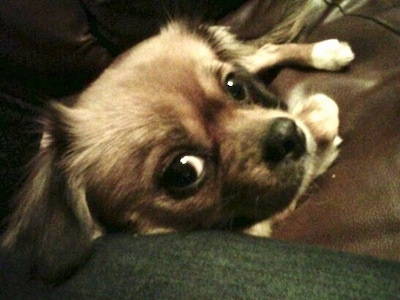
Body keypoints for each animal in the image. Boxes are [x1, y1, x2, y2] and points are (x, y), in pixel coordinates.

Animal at [0, 19, 354, 282]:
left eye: (235, 88)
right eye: (183, 171)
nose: (286, 135)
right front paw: (317, 125)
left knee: (265, 51)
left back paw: (326, 52)